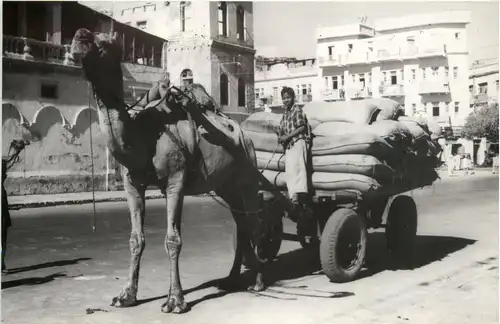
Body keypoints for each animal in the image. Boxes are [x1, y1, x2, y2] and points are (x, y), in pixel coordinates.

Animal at [70, 29, 274, 314]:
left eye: (107, 43)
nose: (80, 38)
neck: (144, 136)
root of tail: (245, 135)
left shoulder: (175, 180)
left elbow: (172, 239)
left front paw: (175, 300)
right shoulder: (132, 183)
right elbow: (136, 239)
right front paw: (126, 296)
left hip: (247, 176)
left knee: (253, 223)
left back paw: (257, 282)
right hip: (226, 185)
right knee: (241, 224)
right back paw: (231, 279)